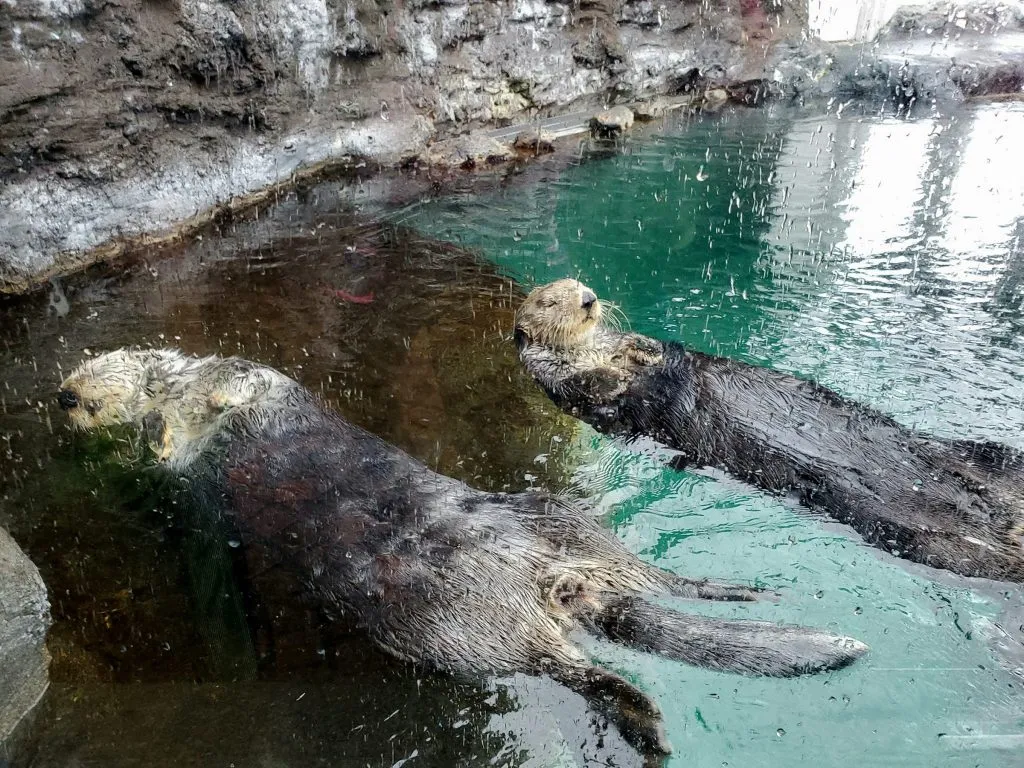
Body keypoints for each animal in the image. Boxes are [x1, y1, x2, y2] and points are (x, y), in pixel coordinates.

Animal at [516, 280, 1024, 585]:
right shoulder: (567, 390)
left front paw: (644, 349)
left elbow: (647, 351)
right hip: (921, 537)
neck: (592, 352)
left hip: (980, 456)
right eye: (549, 301)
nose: (588, 300)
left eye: (580, 285)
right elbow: (602, 395)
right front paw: (616, 373)